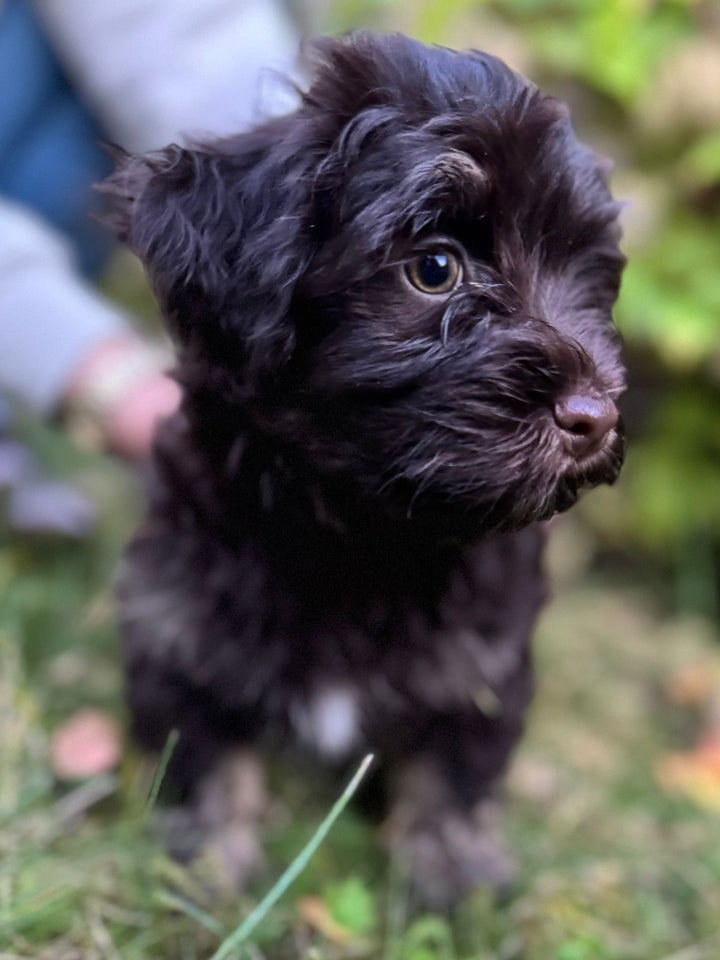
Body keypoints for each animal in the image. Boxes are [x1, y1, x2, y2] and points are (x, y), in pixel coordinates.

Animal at [105, 31, 624, 908]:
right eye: (435, 268)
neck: (363, 533)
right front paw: (203, 860)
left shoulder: (485, 653)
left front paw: (451, 866)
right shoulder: (179, 618)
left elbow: (457, 758)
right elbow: (200, 744)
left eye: (588, 278)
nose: (595, 416)